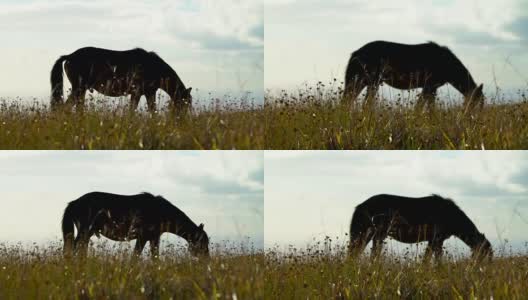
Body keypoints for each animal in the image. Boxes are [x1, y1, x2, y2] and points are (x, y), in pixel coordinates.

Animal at [49, 47, 192, 112]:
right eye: (185, 103)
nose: (182, 121)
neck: (153, 66)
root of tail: (69, 56)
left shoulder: (148, 93)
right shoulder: (139, 92)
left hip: (80, 90)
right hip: (78, 88)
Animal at [60, 192, 209, 258]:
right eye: (202, 242)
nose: (207, 260)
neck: (160, 211)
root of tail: (74, 202)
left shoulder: (153, 238)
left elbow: (155, 257)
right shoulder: (142, 237)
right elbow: (136, 256)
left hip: (87, 232)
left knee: (81, 247)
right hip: (84, 230)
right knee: (75, 246)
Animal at [344, 40, 484, 109]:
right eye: (478, 104)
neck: (446, 62)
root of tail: (356, 53)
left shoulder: (431, 89)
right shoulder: (429, 87)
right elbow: (422, 107)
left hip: (363, 82)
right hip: (370, 83)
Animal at [348, 195, 492, 260]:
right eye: (486, 253)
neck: (450, 214)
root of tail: (361, 205)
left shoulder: (434, 241)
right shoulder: (436, 240)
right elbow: (434, 259)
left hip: (368, 234)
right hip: (375, 234)